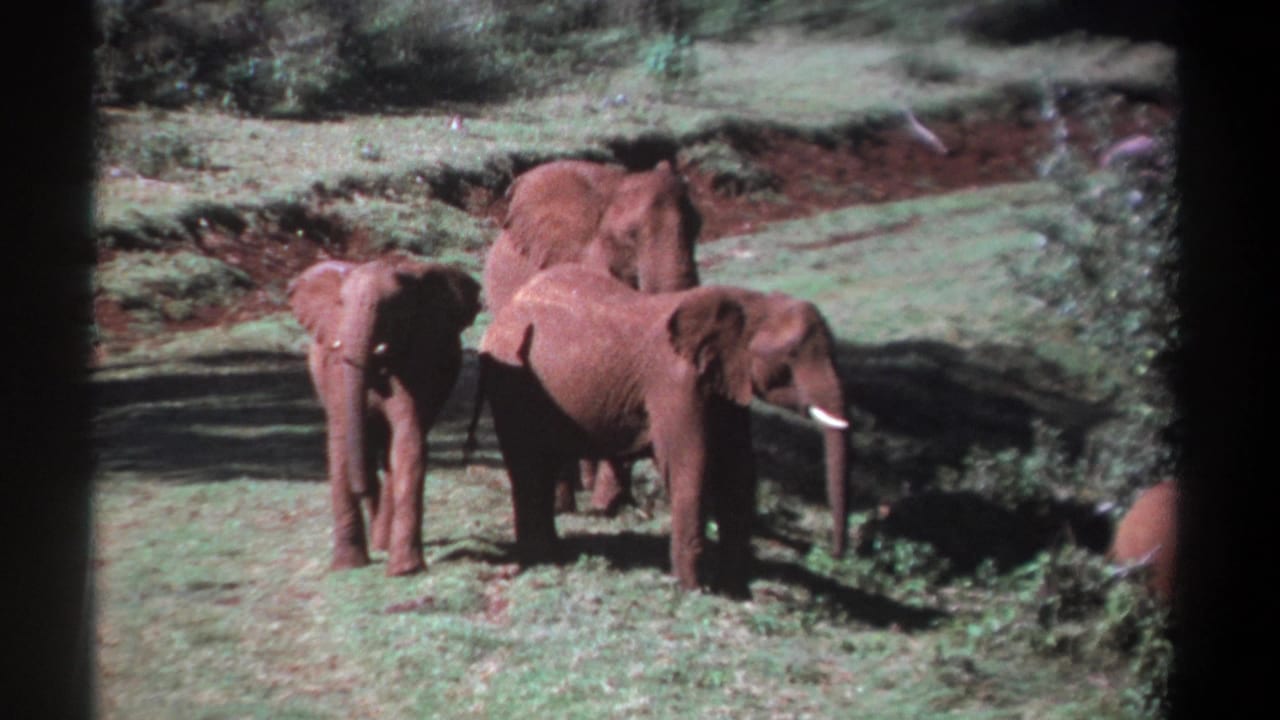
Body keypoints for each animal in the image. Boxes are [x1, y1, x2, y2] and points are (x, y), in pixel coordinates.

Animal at [288, 257, 481, 576]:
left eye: (394, 308)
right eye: (341, 303)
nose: (362, 489)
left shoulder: (415, 364)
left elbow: (409, 440)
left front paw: (404, 569)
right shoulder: (336, 374)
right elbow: (340, 445)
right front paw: (347, 566)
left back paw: (383, 542)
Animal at [477, 265, 851, 596]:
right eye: (789, 358)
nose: (836, 555)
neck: (749, 302)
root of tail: (506, 310)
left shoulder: (726, 384)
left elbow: (739, 469)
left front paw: (736, 592)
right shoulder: (674, 381)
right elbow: (691, 464)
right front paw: (694, 590)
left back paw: (552, 553)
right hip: (509, 379)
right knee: (527, 466)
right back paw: (541, 557)